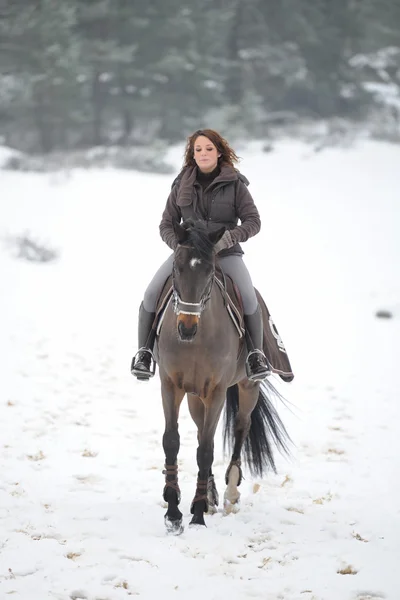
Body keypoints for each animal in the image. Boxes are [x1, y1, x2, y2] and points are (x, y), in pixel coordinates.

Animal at [155, 220, 290, 536]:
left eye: (209, 271)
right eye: (177, 268)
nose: (186, 328)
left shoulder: (216, 391)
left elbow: (206, 450)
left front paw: (196, 515)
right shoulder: (171, 386)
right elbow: (172, 441)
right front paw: (174, 512)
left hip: (248, 385)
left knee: (241, 427)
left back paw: (229, 493)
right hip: (195, 396)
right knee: (202, 429)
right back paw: (210, 495)